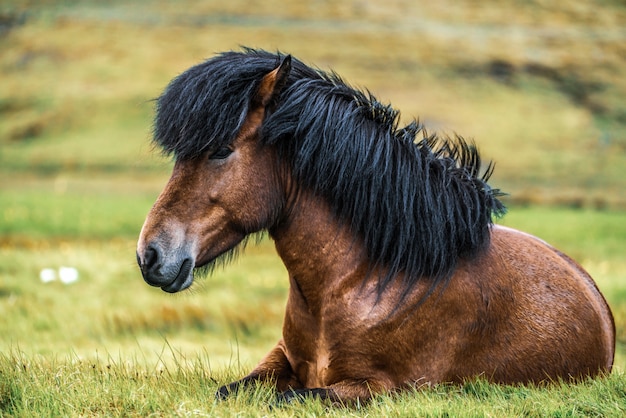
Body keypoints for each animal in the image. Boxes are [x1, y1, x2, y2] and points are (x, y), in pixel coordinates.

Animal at [138, 48, 616, 402]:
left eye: (220, 150)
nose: (150, 254)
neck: (359, 278)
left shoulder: (384, 387)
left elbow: (293, 397)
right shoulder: (279, 359)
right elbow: (231, 391)